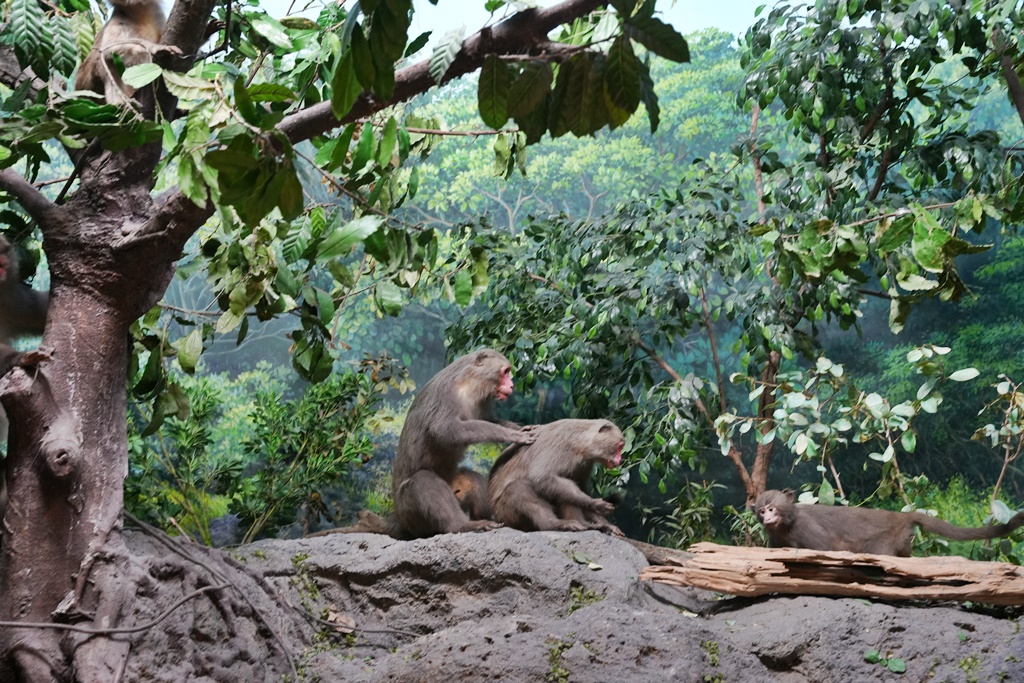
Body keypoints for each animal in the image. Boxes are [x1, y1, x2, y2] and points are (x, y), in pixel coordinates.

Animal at [389, 350, 536, 536]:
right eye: (505, 372)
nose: (511, 385)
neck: (470, 383)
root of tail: (399, 518)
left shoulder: (482, 400)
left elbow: (490, 420)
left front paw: (520, 428)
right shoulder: (446, 394)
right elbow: (445, 429)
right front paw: (510, 434)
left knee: (472, 478)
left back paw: (483, 518)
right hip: (410, 514)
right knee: (422, 480)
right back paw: (462, 525)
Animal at [487, 419, 622, 536]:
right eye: (620, 447)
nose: (620, 460)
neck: (581, 443)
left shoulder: (585, 462)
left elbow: (579, 485)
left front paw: (604, 521)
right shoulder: (561, 446)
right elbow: (541, 477)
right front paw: (593, 503)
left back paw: (585, 524)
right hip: (506, 513)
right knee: (519, 486)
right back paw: (553, 524)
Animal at [753, 485, 1024, 557]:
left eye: (772, 508)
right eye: (761, 511)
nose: (767, 517)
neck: (788, 523)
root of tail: (902, 516)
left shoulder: (807, 527)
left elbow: (827, 548)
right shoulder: (774, 537)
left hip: (889, 537)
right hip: (903, 539)